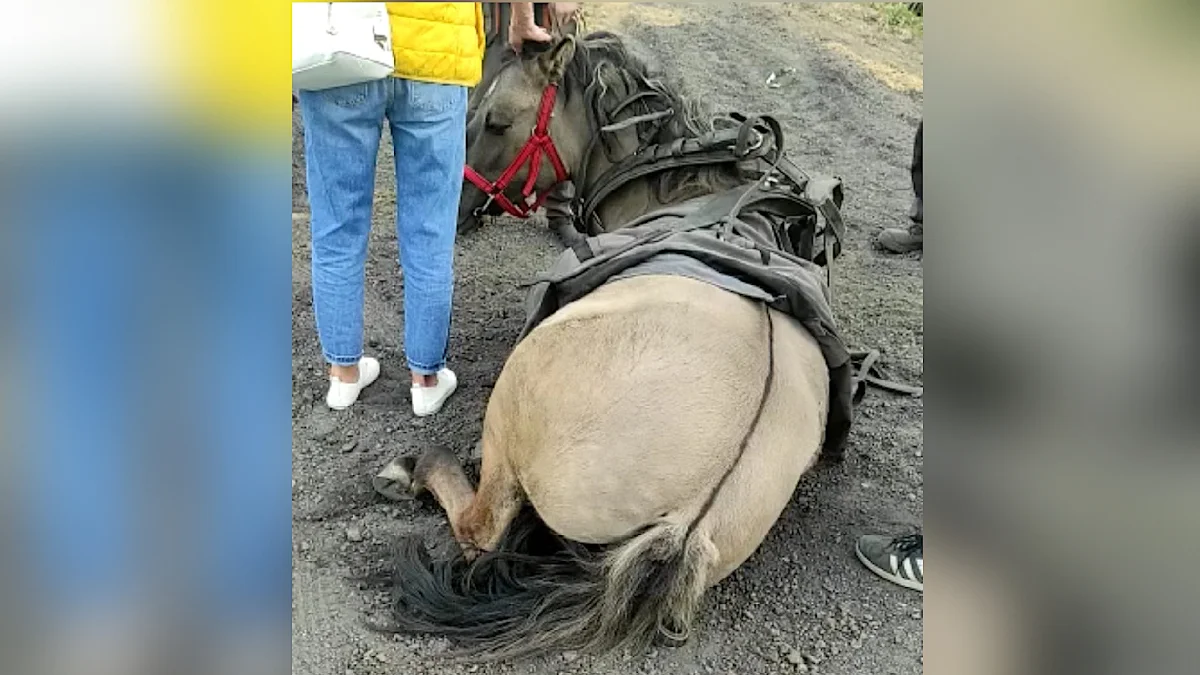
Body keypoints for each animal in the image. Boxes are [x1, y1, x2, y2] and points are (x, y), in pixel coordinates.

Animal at [369, 34, 859, 658]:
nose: (453, 211)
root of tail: (686, 523)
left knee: (481, 527)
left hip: (512, 404)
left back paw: (410, 468)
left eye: (498, 121)